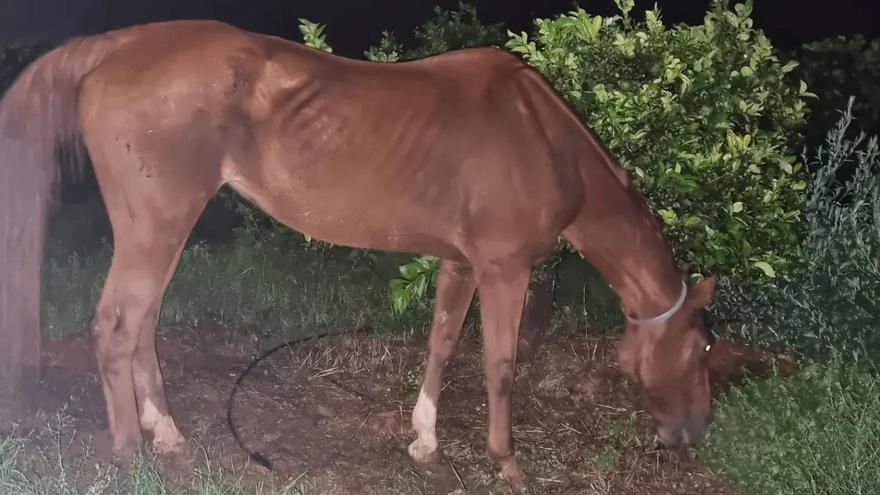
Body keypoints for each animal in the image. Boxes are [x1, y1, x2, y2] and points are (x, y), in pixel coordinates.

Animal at [0, 19, 716, 480]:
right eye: (703, 350)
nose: (694, 433)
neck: (542, 135)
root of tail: (116, 45)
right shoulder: (505, 268)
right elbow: (501, 364)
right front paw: (506, 462)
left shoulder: (461, 261)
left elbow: (443, 343)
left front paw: (424, 440)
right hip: (157, 226)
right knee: (116, 326)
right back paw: (128, 449)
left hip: (160, 230)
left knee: (142, 324)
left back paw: (167, 433)